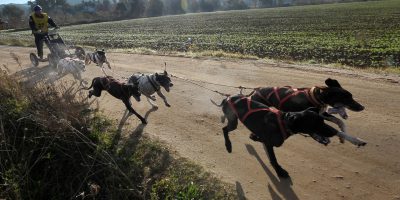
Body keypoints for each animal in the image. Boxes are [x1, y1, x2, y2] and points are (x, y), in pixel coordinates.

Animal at [212, 95, 366, 178]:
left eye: (322, 121)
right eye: (314, 124)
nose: (333, 131)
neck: (284, 122)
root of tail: (227, 98)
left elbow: (257, 138)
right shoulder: (269, 143)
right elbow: (273, 159)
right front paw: (280, 171)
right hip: (233, 121)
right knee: (225, 129)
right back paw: (228, 146)